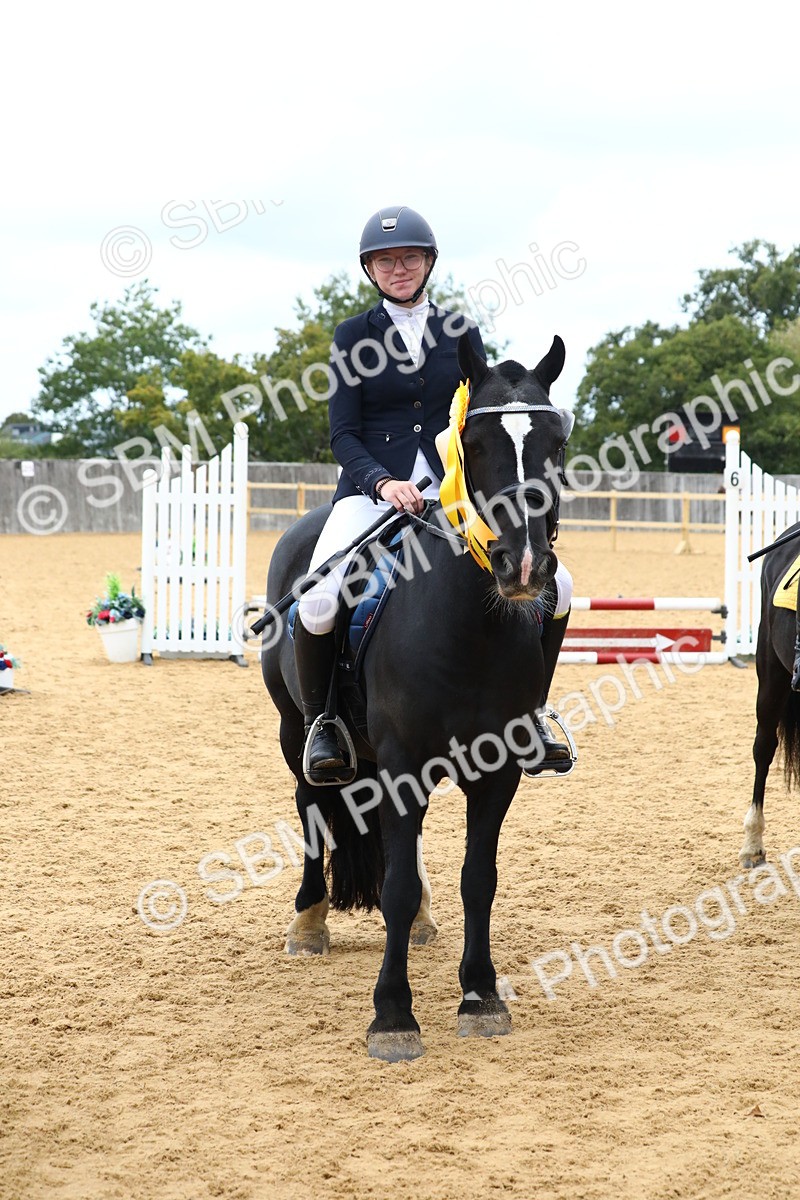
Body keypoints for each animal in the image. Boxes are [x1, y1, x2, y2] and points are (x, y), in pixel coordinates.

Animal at [261, 332, 572, 1061]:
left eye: (556, 442)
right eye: (473, 442)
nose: (523, 565)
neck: (470, 628)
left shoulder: (497, 768)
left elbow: (478, 879)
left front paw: (481, 997)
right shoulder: (404, 765)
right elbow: (396, 886)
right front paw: (393, 1015)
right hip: (296, 731)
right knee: (311, 804)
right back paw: (309, 922)